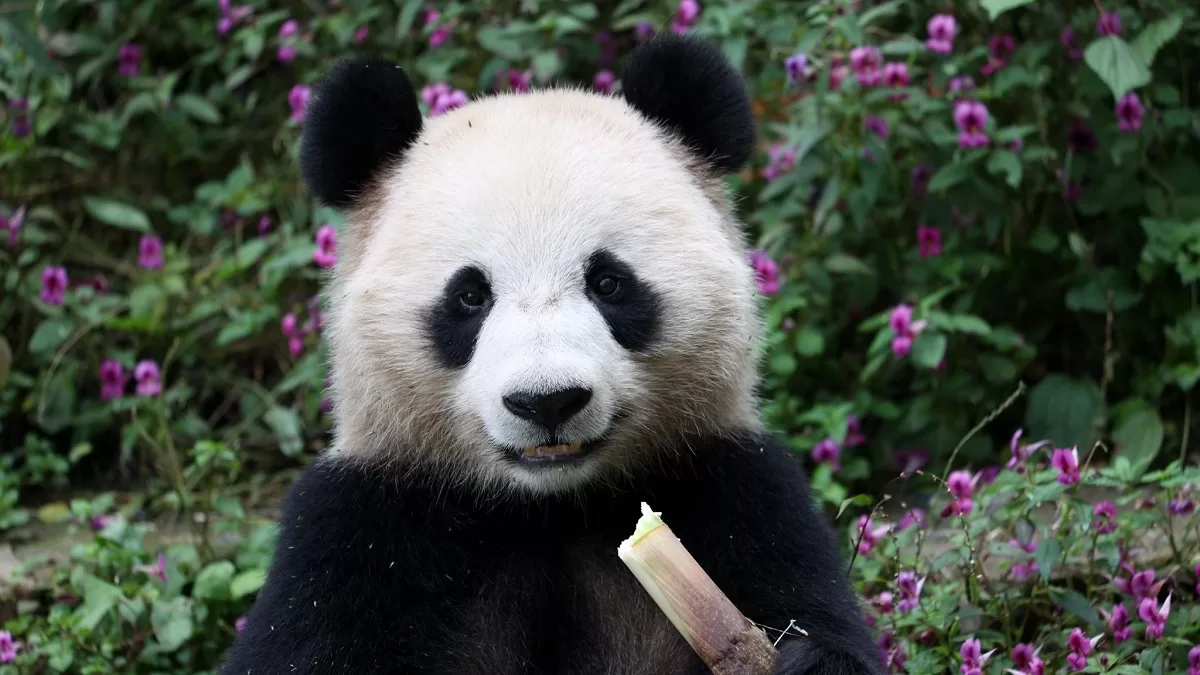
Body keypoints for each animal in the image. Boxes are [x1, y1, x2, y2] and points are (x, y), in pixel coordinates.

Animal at [219, 33, 883, 675]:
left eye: (609, 282)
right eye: (469, 295)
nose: (547, 402)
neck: (551, 509)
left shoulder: (734, 488)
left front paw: (809, 659)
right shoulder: (364, 530)